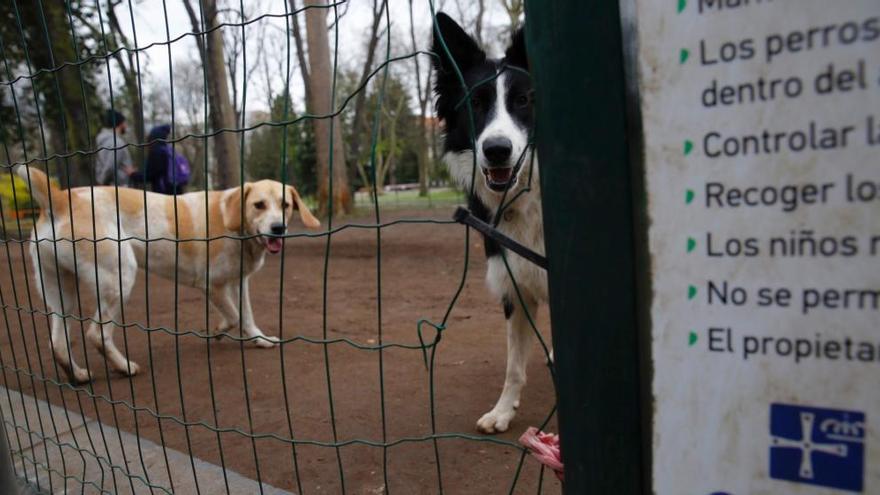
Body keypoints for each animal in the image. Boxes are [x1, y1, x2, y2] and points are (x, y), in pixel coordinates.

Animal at [18, 166, 320, 384]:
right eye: (259, 205)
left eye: (285, 205)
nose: (278, 228)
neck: (234, 224)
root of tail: (61, 199)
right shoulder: (212, 286)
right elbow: (235, 317)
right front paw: (222, 330)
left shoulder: (239, 282)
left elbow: (246, 316)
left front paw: (258, 339)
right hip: (120, 277)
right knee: (97, 334)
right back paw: (124, 367)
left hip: (62, 294)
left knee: (58, 343)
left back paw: (78, 375)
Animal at [432, 13, 548, 436]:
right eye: (476, 103)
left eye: (524, 100)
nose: (497, 150)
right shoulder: (515, 285)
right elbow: (514, 365)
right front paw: (503, 411)